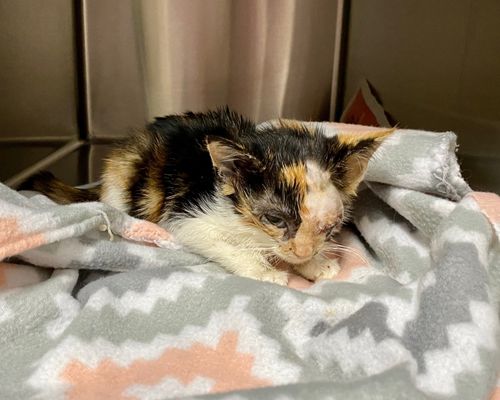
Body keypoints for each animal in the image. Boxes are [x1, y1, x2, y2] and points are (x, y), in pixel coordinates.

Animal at [21, 108, 392, 284]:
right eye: (274, 219)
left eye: (329, 227)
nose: (303, 252)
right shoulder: (188, 216)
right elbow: (221, 243)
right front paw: (265, 271)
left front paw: (314, 263)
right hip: (125, 174)